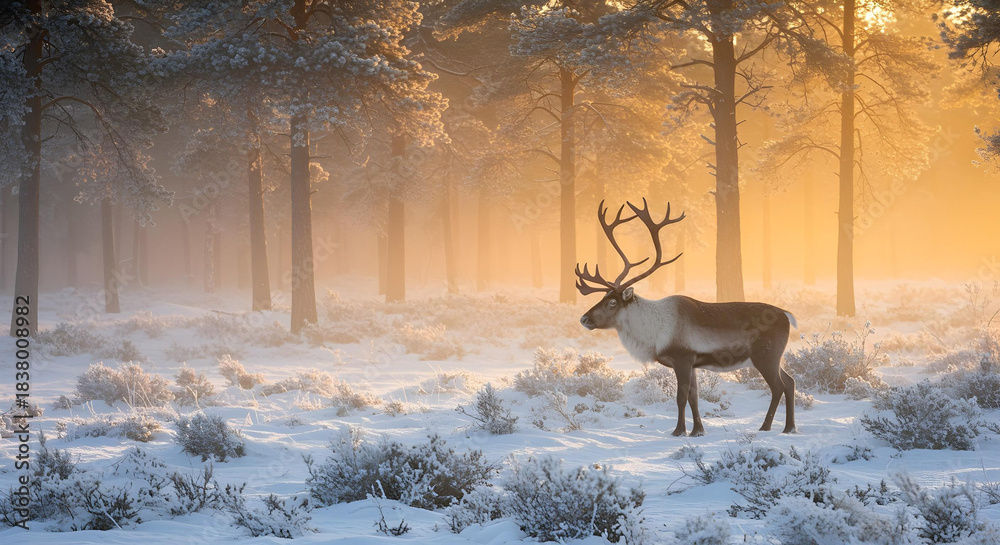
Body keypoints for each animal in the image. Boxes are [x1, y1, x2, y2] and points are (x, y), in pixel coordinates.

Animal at [576, 199, 797, 436]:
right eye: (603, 297)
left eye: (612, 302)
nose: (584, 319)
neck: (652, 334)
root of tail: (787, 315)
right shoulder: (692, 363)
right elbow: (694, 397)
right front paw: (698, 430)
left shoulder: (682, 358)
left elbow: (681, 398)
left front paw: (679, 431)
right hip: (774, 357)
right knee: (790, 382)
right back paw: (789, 428)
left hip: (765, 355)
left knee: (778, 386)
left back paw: (766, 427)